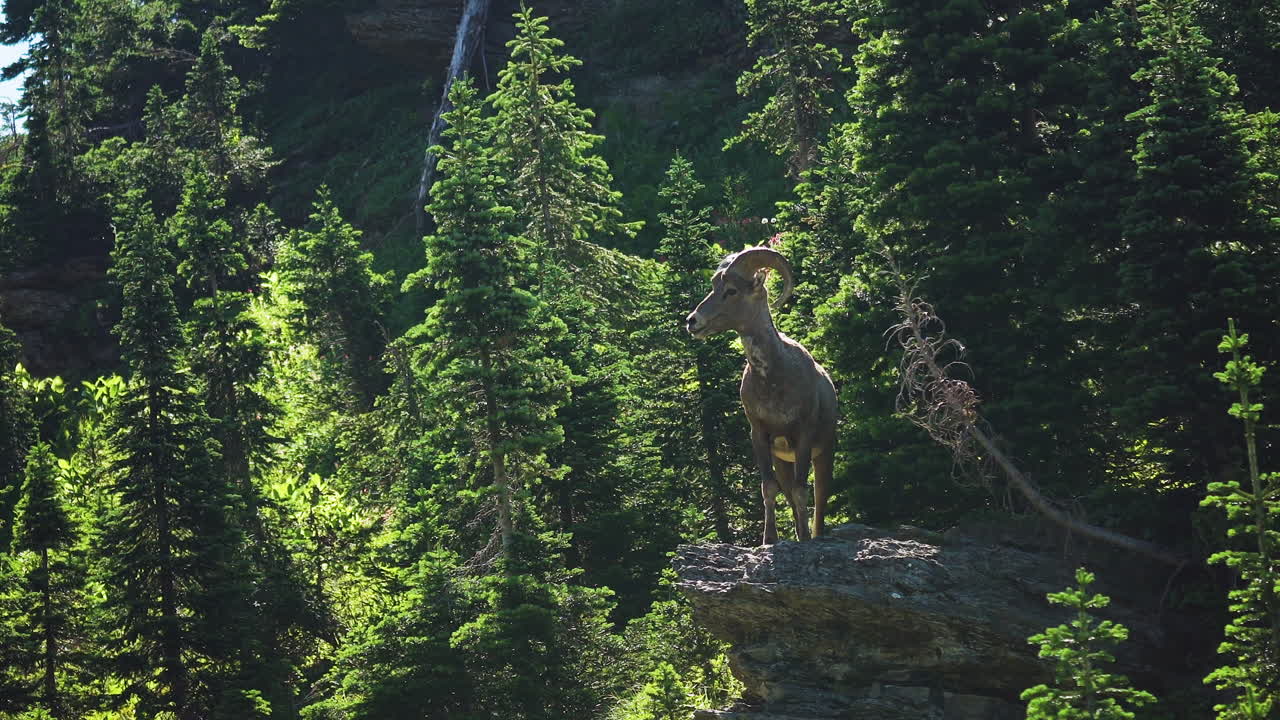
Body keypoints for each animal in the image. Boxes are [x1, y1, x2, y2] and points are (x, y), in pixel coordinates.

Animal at [685, 246, 837, 544]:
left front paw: (803, 539)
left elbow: (802, 491)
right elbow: (769, 488)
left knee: (819, 497)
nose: (692, 321)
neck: (774, 381)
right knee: (789, 492)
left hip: (825, 453)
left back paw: (814, 536)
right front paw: (769, 540)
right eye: (714, 286)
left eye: (731, 290)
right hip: (783, 461)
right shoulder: (759, 434)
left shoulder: (803, 435)